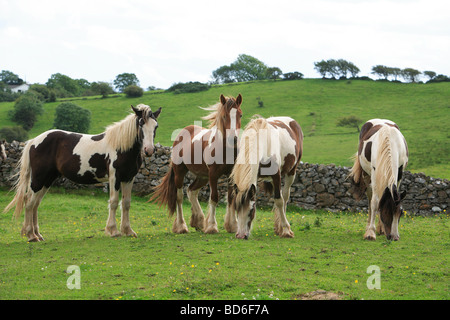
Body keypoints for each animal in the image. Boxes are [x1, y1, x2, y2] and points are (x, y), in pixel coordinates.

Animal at [3, 104, 162, 241]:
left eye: (156, 126)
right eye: (141, 123)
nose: (149, 150)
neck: (121, 147)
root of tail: (34, 141)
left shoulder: (128, 178)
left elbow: (127, 203)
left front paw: (128, 231)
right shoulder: (114, 178)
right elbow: (114, 202)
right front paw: (113, 231)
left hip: (47, 180)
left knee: (35, 203)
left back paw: (37, 234)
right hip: (38, 178)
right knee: (29, 202)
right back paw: (31, 235)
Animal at [151, 94, 243, 234]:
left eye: (240, 115)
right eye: (224, 116)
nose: (233, 139)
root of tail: (182, 132)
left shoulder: (230, 175)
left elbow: (231, 198)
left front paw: (232, 225)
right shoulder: (213, 175)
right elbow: (214, 198)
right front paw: (212, 226)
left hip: (202, 177)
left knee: (191, 191)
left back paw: (198, 221)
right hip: (180, 173)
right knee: (179, 197)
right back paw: (181, 226)